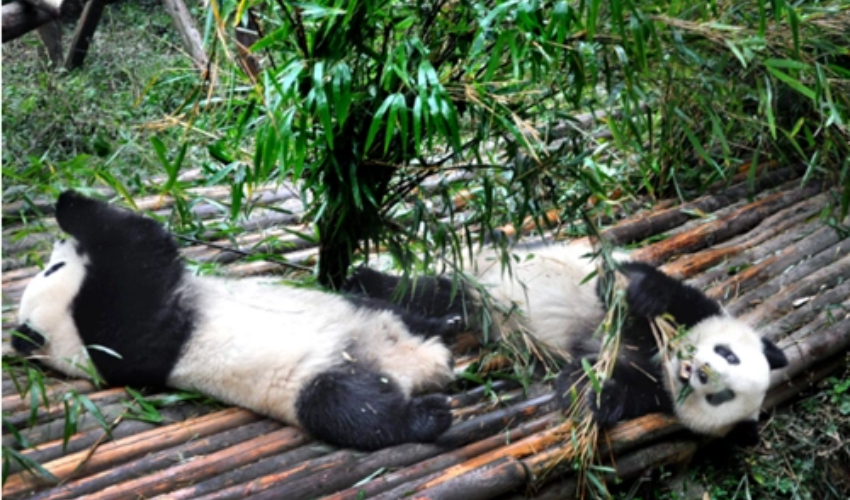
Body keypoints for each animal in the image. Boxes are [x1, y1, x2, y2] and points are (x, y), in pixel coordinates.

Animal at [11, 190, 458, 451]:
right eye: (52, 269)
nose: (59, 245)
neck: (72, 342)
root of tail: (418, 365)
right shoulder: (126, 336)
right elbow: (144, 250)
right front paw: (69, 203)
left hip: (361, 310)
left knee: (402, 313)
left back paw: (447, 323)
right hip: (318, 381)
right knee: (354, 412)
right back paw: (430, 415)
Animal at [342, 242, 789, 446]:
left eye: (721, 396)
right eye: (727, 353)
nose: (702, 370)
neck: (658, 355)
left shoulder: (653, 386)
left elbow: (596, 379)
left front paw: (595, 398)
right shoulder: (689, 307)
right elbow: (635, 284)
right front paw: (644, 295)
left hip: (475, 305)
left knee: (434, 295)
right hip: (482, 277)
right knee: (423, 288)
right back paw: (361, 277)